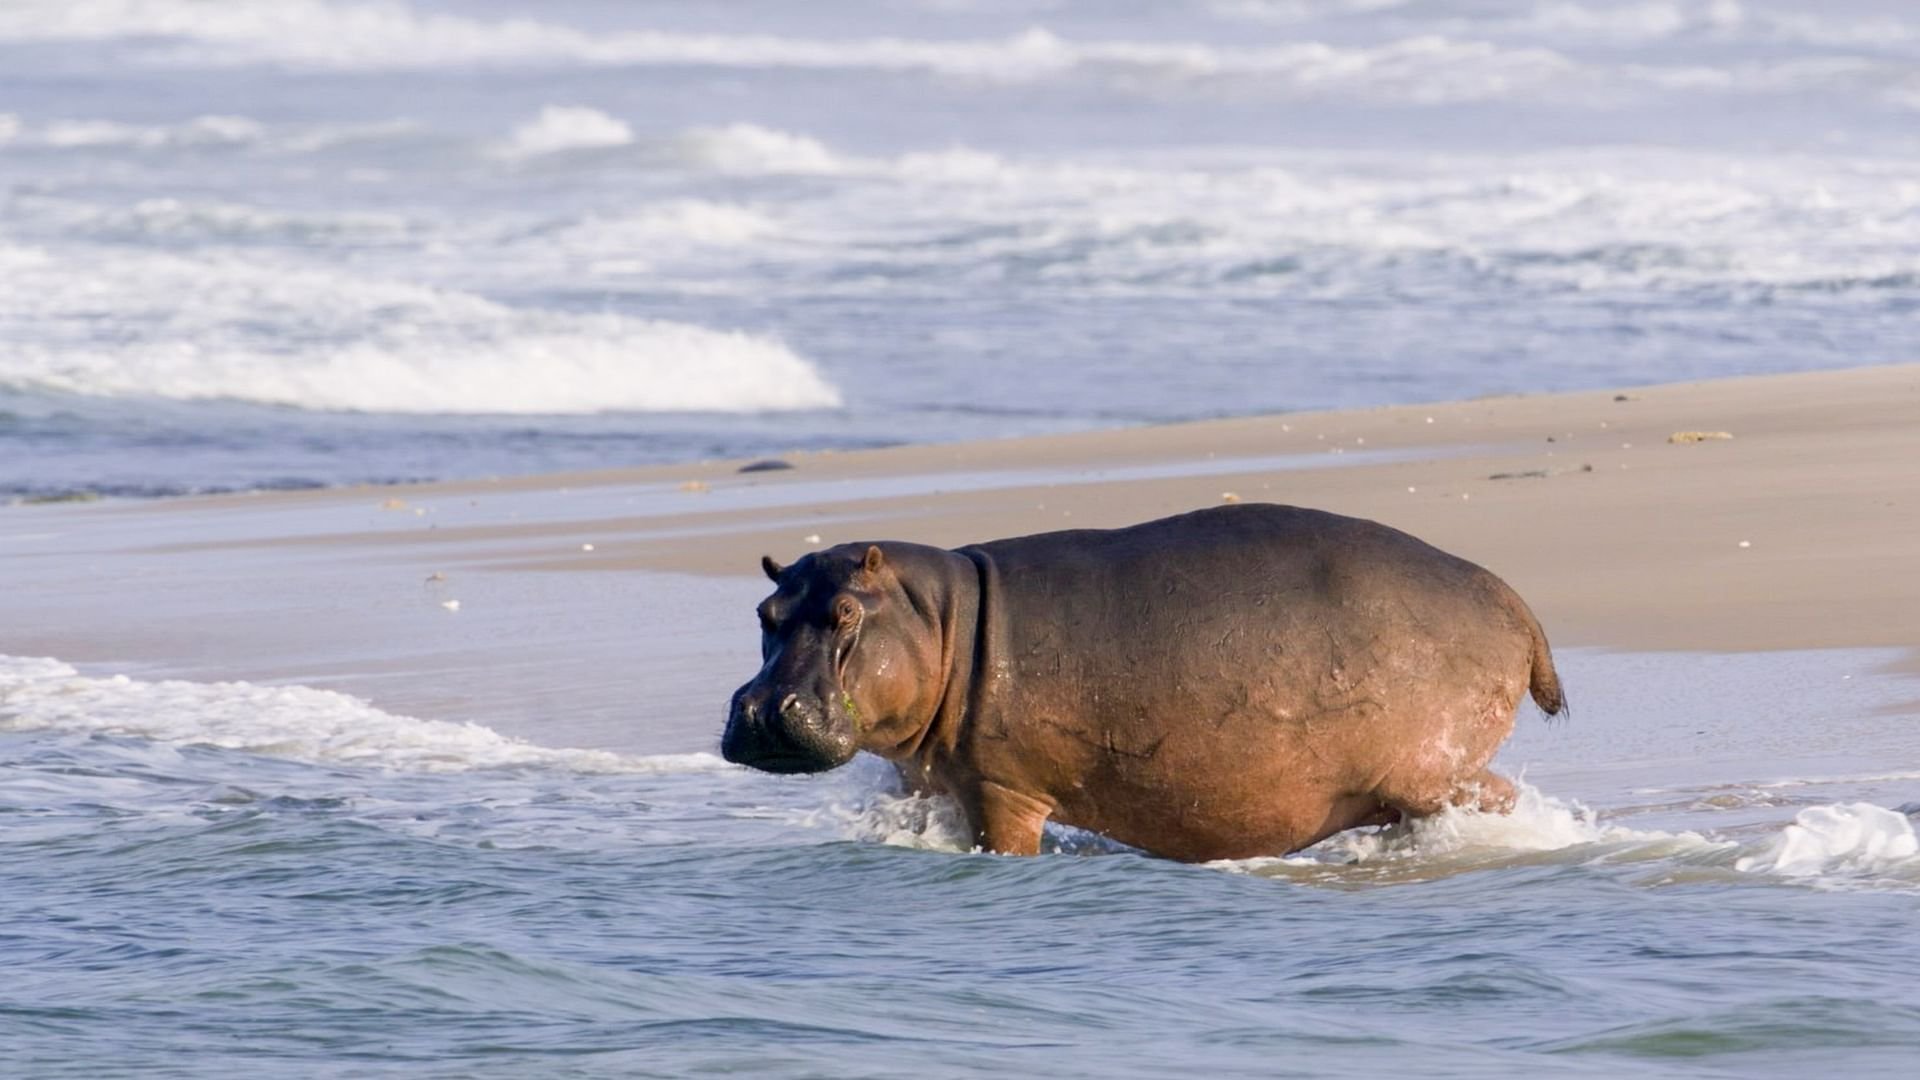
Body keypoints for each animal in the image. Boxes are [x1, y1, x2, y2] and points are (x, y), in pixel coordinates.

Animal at [722, 503, 1564, 862]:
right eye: (765, 611)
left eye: (843, 613)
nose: (762, 710)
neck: (941, 615)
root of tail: (1515, 600)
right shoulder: (930, 783)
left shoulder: (1003, 787)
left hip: (1431, 769)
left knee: (1499, 799)